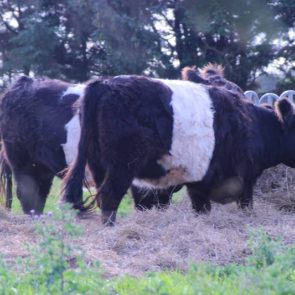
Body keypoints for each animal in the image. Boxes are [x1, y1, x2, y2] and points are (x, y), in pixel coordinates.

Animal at [0, 75, 177, 215]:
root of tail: (23, 83)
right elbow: (142, 202)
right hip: (23, 162)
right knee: (28, 195)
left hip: (42, 167)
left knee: (40, 195)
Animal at [62, 75, 295, 225]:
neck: (252, 125)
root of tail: (103, 84)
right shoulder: (241, 179)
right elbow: (239, 208)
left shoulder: (197, 183)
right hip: (122, 165)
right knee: (110, 197)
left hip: (97, 164)